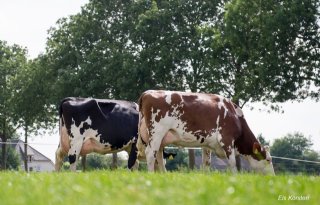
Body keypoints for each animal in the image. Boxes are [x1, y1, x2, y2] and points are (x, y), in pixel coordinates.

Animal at [138, 90, 276, 175]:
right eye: (268, 159)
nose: (273, 177)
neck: (234, 114)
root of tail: (147, 93)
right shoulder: (226, 139)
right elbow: (232, 163)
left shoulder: (207, 144)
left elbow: (206, 163)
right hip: (157, 132)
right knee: (150, 154)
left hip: (159, 138)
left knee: (159, 158)